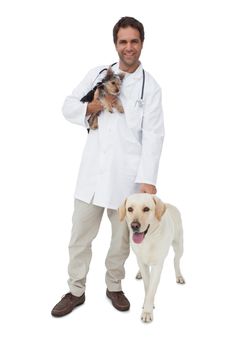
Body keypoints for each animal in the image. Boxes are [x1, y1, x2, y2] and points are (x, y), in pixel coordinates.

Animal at [119, 194, 185, 322]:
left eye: (146, 209)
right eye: (130, 209)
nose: (134, 226)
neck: (148, 239)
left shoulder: (157, 265)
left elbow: (151, 288)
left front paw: (147, 312)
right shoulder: (141, 261)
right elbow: (147, 284)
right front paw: (147, 303)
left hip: (179, 245)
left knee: (176, 260)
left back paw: (179, 276)